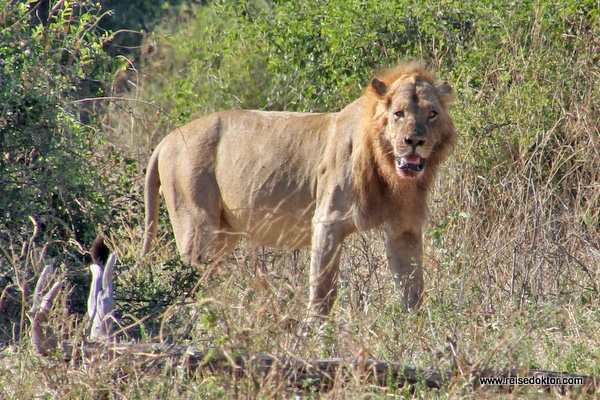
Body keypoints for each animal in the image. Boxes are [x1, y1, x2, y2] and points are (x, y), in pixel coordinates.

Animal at [143, 61, 458, 316]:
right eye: (398, 113)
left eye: (432, 114)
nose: (414, 140)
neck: (387, 168)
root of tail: (166, 139)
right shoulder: (328, 219)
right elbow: (323, 291)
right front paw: (317, 336)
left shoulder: (404, 227)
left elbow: (412, 288)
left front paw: (413, 330)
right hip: (196, 226)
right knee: (189, 280)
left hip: (223, 235)